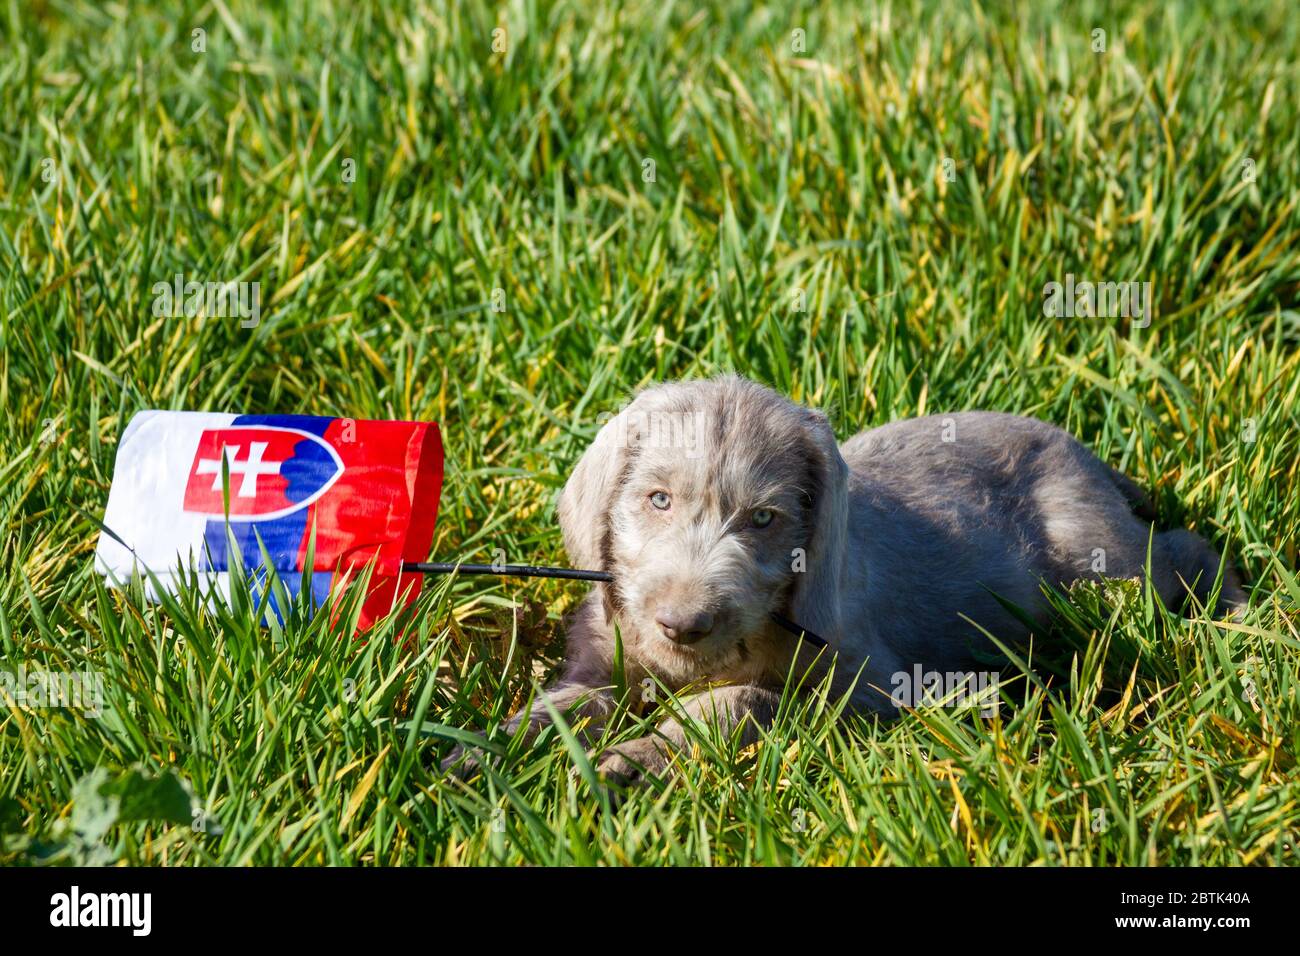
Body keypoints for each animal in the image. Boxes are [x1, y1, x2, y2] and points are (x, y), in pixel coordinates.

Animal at [460, 374, 1237, 785]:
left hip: (1101, 561)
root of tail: (1086, 455)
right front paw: (489, 748)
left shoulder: (872, 688)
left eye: (765, 519)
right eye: (657, 500)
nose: (683, 624)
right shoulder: (604, 657)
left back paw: (1235, 611)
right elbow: (568, 702)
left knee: (1184, 551)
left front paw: (634, 756)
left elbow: (742, 701)